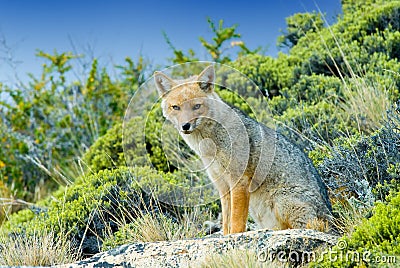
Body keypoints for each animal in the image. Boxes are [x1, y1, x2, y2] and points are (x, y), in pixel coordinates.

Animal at [155, 65, 332, 234]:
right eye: (176, 107)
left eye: (196, 106)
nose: (185, 126)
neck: (210, 146)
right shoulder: (222, 186)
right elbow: (226, 222)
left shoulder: (239, 181)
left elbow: (236, 221)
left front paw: (234, 238)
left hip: (281, 201)